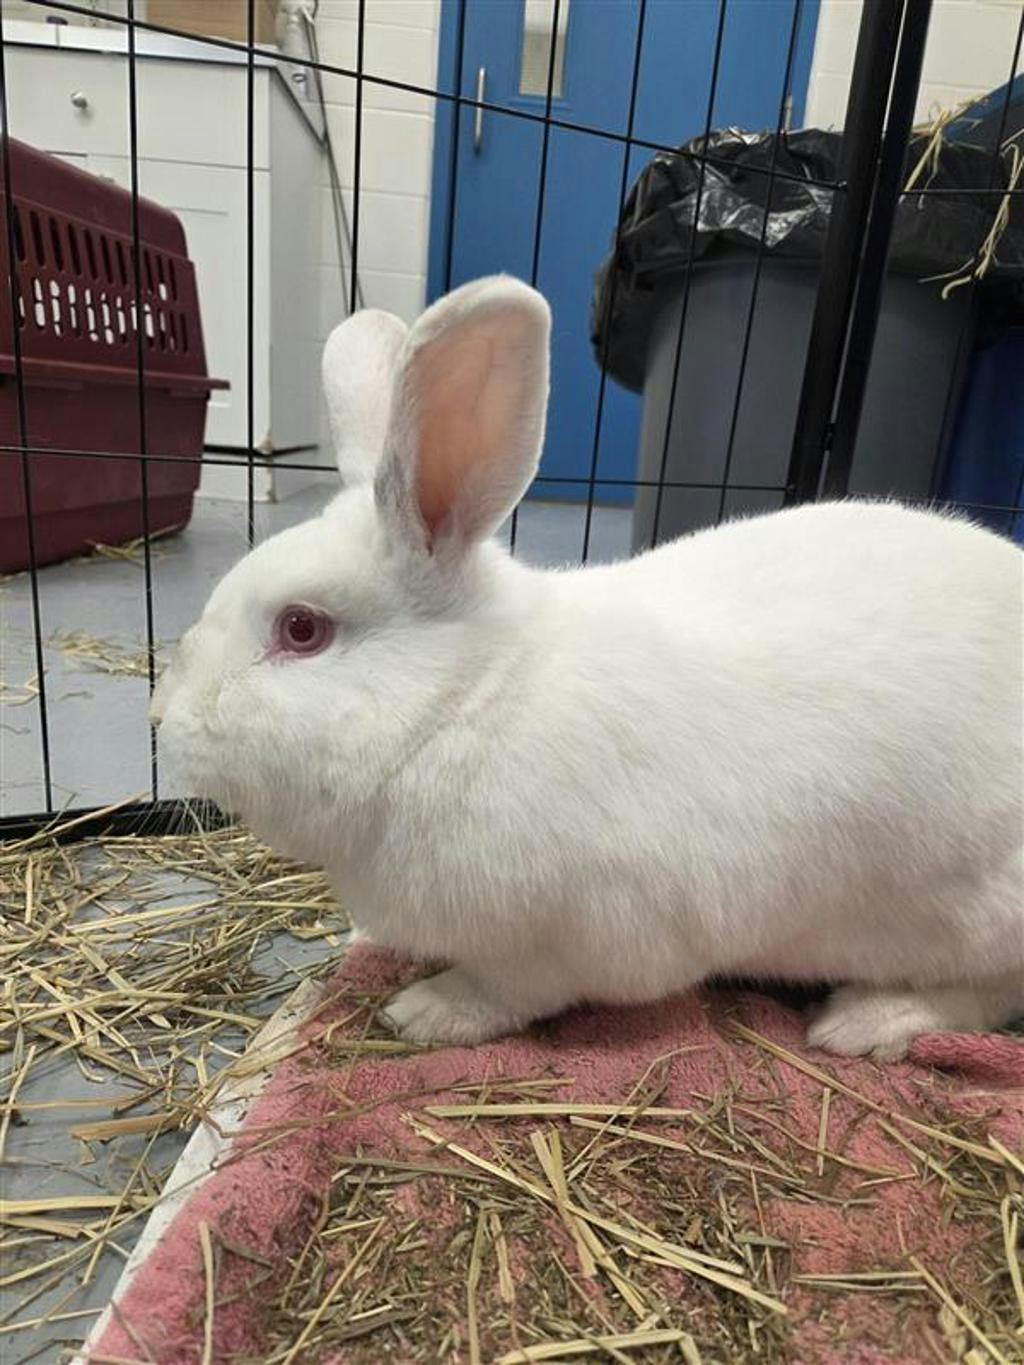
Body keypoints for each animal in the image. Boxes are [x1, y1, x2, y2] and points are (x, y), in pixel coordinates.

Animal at [152, 275, 1024, 1062]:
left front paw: (425, 1012)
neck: (462, 706)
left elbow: (507, 990)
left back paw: (866, 1020)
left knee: (987, 994)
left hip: (976, 913)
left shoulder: (565, 942)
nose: (162, 720)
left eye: (302, 629)